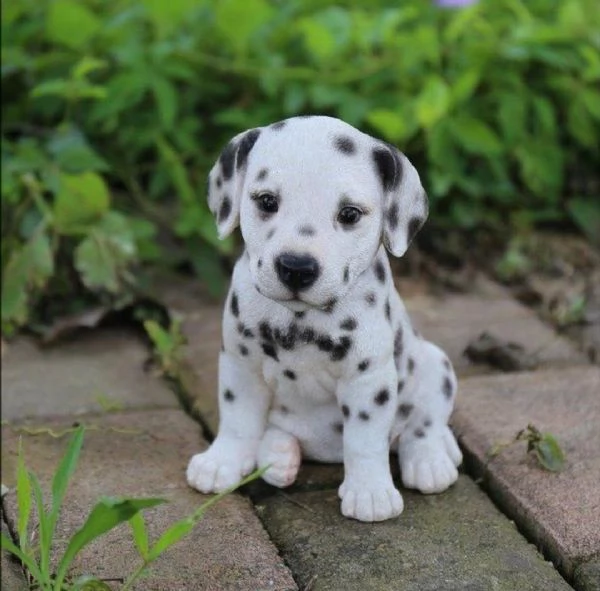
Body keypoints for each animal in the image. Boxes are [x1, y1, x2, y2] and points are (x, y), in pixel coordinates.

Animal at [188, 115, 464, 524]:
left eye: (349, 214)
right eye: (267, 201)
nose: (296, 267)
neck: (301, 318)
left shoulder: (368, 380)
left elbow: (365, 440)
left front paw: (369, 492)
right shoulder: (241, 364)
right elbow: (238, 420)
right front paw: (222, 462)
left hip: (435, 364)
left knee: (424, 422)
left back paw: (430, 459)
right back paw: (279, 455)